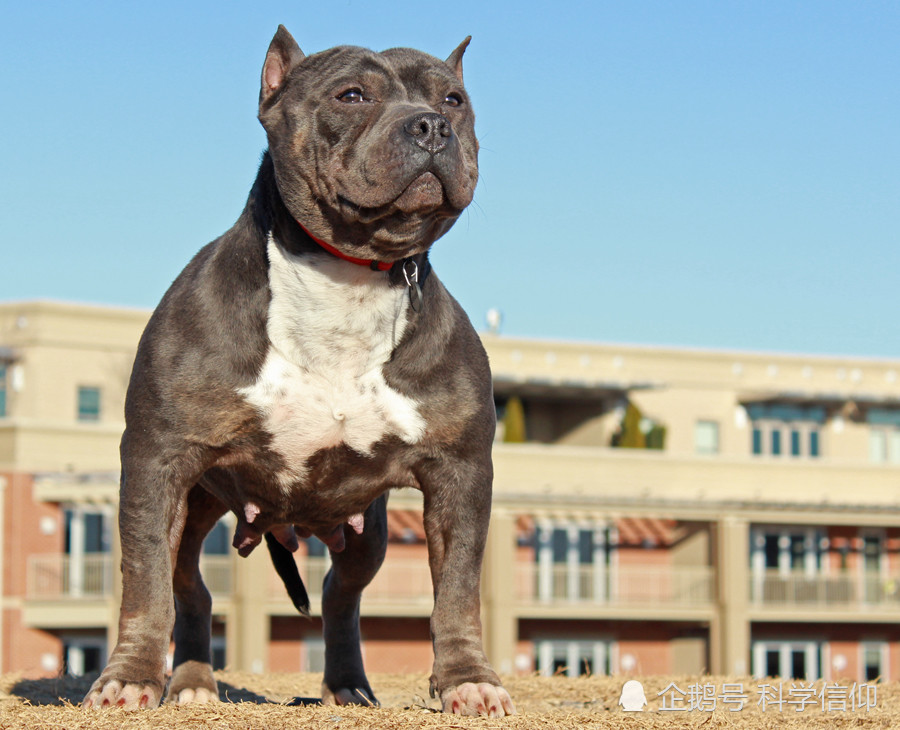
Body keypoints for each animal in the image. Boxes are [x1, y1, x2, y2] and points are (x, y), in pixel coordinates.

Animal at [82, 24, 520, 716]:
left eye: (454, 100)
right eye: (352, 94)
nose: (430, 126)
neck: (349, 278)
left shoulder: (460, 472)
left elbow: (457, 589)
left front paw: (468, 680)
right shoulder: (158, 460)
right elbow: (143, 581)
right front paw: (127, 677)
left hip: (366, 532)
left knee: (341, 595)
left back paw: (346, 684)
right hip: (198, 504)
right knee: (190, 588)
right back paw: (192, 681)